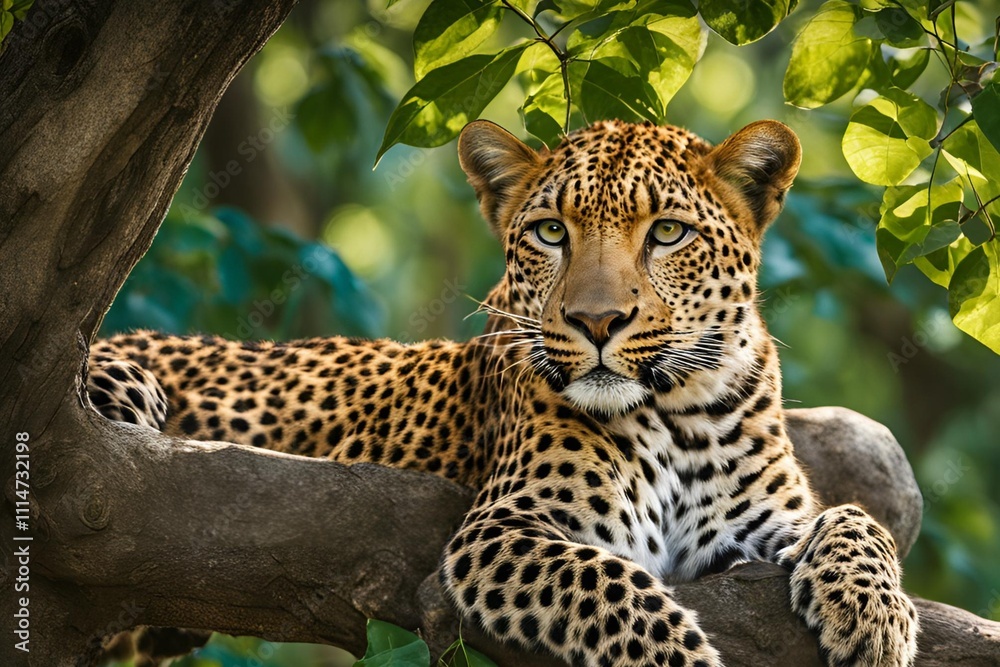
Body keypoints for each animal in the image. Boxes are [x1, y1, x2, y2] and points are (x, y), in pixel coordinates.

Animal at [89, 118, 919, 667]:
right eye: (552, 232)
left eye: (667, 233)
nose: (596, 321)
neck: (680, 408)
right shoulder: (501, 531)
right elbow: (616, 587)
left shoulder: (761, 523)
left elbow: (855, 519)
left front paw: (875, 614)